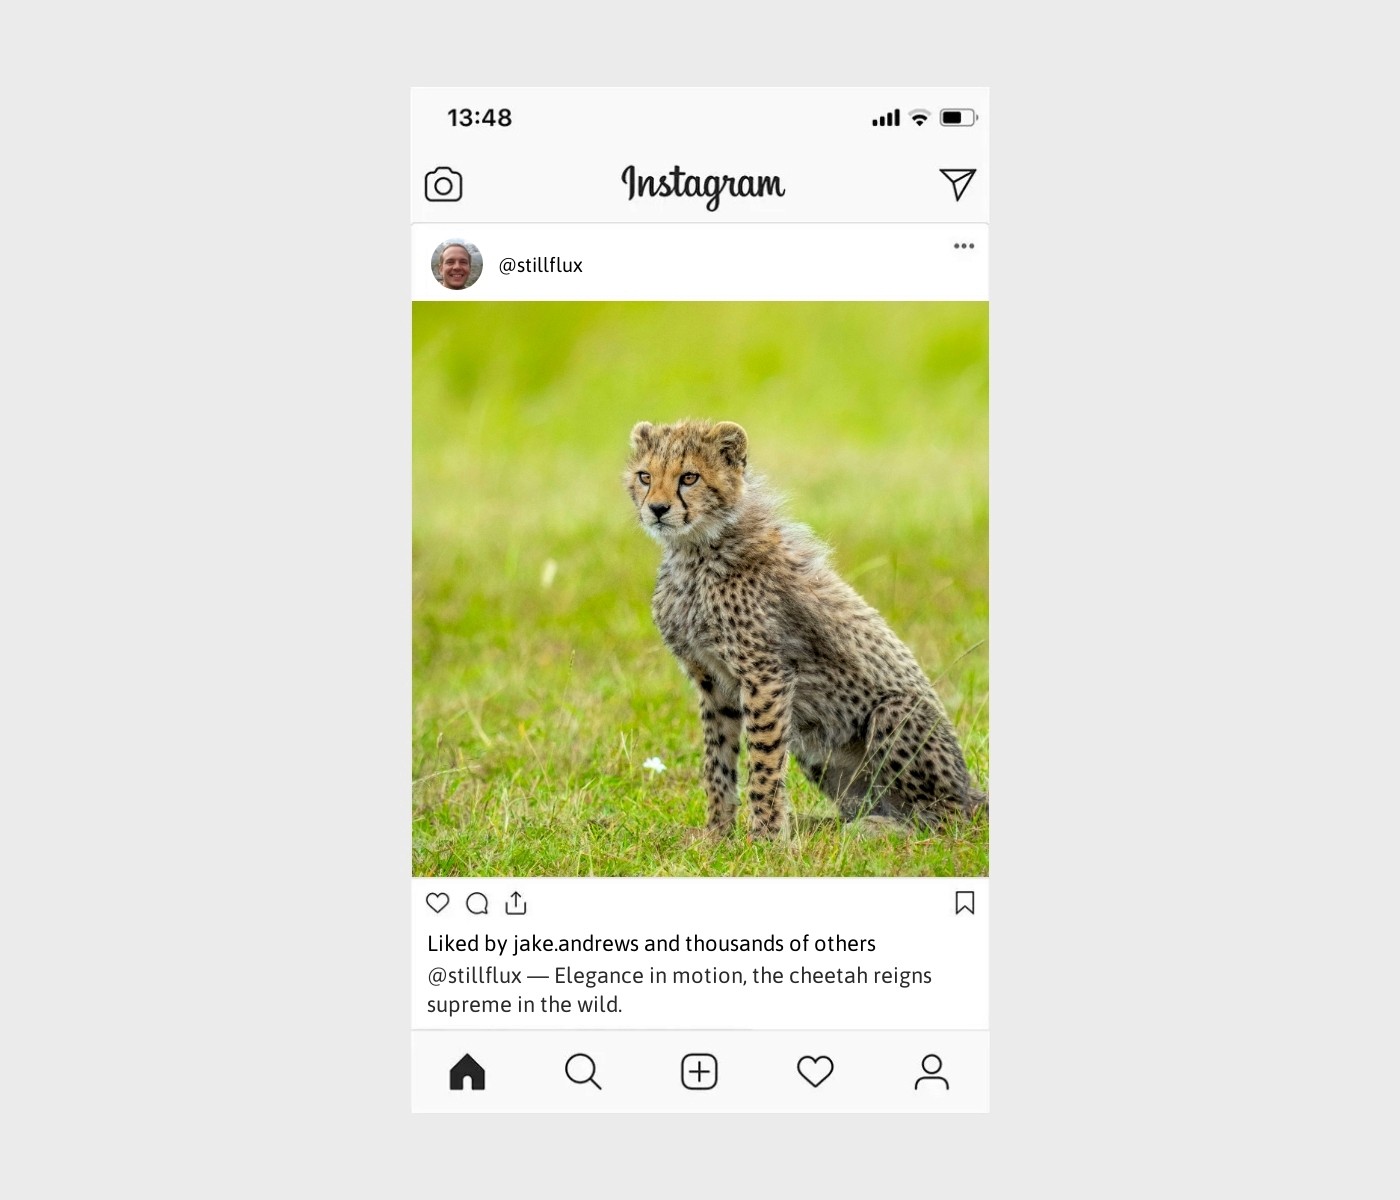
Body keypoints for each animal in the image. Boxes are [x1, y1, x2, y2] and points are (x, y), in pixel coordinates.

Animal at [624, 418, 987, 839]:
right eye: (645, 476)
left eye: (689, 477)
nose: (657, 509)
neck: (696, 552)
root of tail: (972, 790)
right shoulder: (713, 682)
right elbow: (718, 761)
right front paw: (717, 834)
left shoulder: (765, 675)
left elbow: (764, 763)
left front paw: (764, 838)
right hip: (815, 748)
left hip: (895, 713)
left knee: (948, 816)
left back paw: (877, 829)